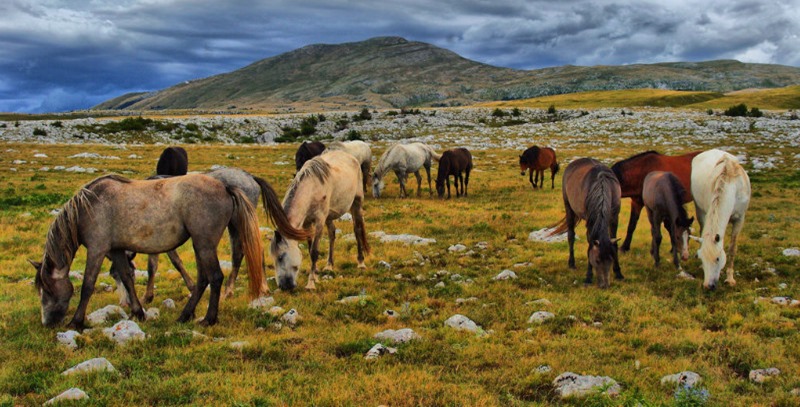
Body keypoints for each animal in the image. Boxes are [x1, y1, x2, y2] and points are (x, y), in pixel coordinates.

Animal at [31, 174, 266, 329]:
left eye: (48, 290)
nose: (47, 323)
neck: (87, 207)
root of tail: (225, 186)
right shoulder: (116, 250)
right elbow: (126, 278)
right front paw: (138, 312)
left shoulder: (97, 249)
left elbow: (88, 285)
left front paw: (76, 322)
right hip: (201, 245)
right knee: (203, 280)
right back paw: (185, 315)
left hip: (204, 244)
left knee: (215, 277)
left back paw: (208, 319)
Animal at [270, 151, 370, 291]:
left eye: (280, 257)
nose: (284, 286)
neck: (311, 188)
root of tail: (352, 157)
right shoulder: (307, 223)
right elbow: (309, 247)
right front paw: (316, 275)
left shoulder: (319, 220)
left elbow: (314, 251)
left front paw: (311, 283)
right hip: (329, 216)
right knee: (332, 233)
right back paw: (329, 265)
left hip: (356, 203)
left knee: (357, 230)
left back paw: (361, 263)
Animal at [549, 158, 622, 288]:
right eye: (597, 260)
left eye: (611, 259)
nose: (605, 286)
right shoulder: (590, 221)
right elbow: (589, 245)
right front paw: (588, 277)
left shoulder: (614, 217)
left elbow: (615, 244)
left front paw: (618, 272)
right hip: (569, 208)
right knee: (571, 235)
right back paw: (571, 263)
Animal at [690, 149, 750, 290]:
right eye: (700, 258)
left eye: (717, 259)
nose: (708, 286)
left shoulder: (740, 219)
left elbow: (732, 248)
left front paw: (730, 279)